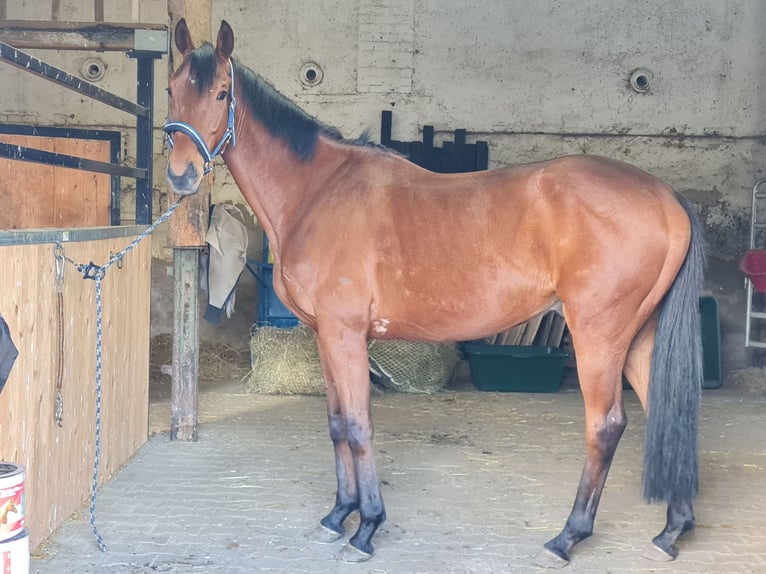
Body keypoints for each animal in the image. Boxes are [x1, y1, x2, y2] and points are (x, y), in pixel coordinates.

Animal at [166, 20, 708, 568]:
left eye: (222, 92)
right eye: (171, 89)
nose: (181, 175)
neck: (319, 191)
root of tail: (666, 198)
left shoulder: (346, 335)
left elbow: (359, 427)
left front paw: (367, 529)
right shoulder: (325, 336)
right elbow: (337, 423)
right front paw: (338, 516)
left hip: (599, 337)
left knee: (605, 426)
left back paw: (566, 538)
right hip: (638, 337)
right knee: (668, 416)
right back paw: (671, 531)